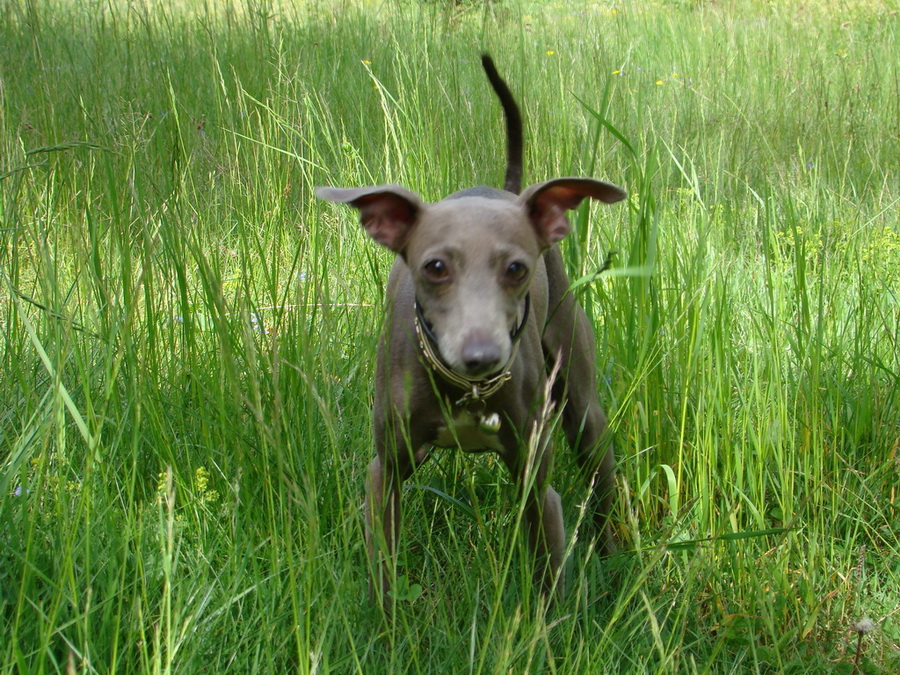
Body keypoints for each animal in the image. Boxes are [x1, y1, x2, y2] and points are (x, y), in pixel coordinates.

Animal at [318, 55, 624, 608]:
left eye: (517, 268)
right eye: (435, 267)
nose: (481, 356)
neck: (468, 392)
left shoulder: (537, 487)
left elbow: (548, 588)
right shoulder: (384, 474)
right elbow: (384, 580)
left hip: (581, 403)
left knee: (600, 469)